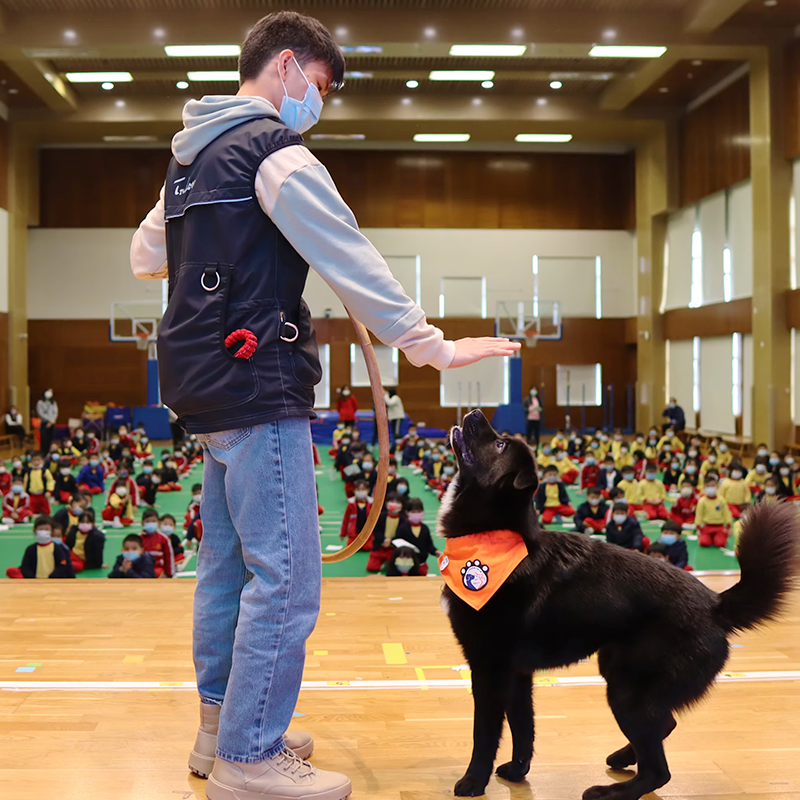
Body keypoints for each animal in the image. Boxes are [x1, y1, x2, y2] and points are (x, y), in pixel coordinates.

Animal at [438, 409, 800, 799]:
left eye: (500, 444)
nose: (476, 412)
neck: (494, 534)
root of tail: (717, 604)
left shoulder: (489, 669)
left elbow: (484, 734)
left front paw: (474, 781)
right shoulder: (518, 675)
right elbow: (523, 728)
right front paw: (518, 772)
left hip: (626, 690)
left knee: (659, 770)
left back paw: (611, 790)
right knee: (664, 726)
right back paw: (623, 760)